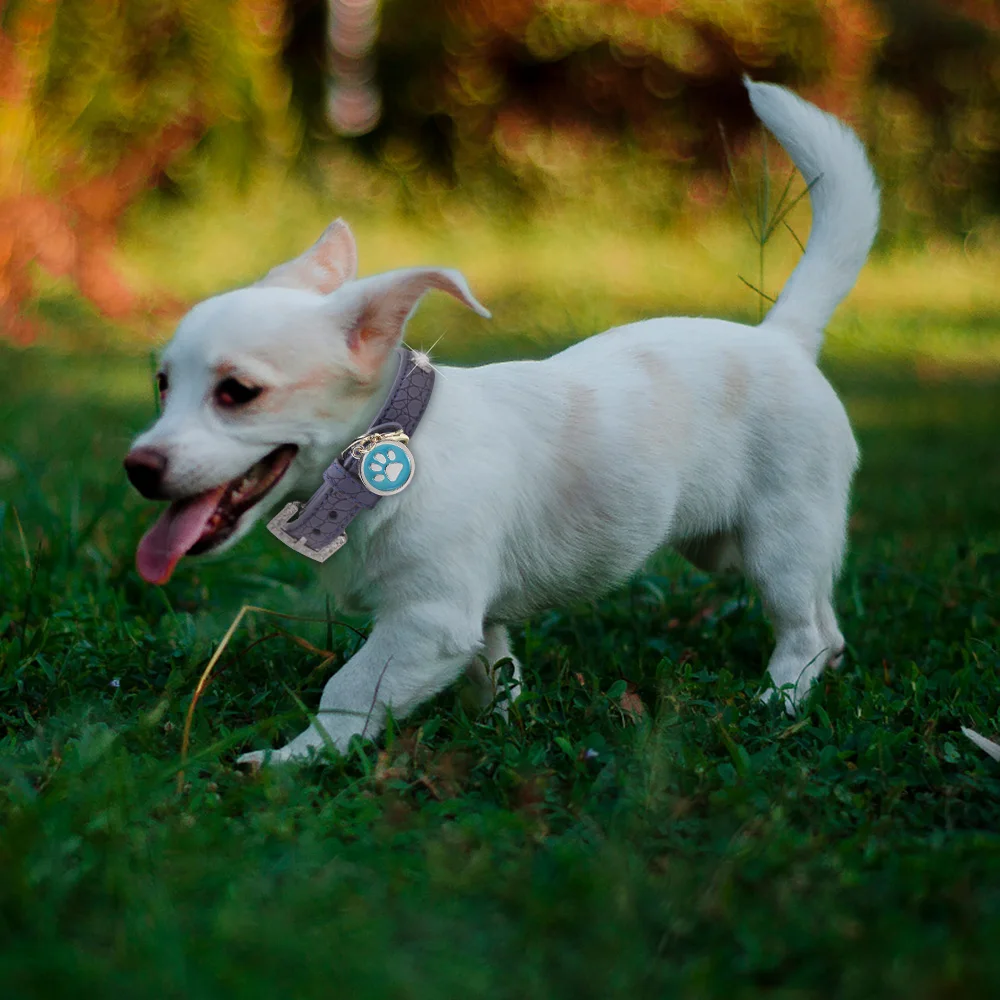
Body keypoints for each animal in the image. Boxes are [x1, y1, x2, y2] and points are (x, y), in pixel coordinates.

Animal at [127, 82, 884, 764]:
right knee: (829, 626)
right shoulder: (469, 618)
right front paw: (499, 725)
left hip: (780, 540)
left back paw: (776, 703)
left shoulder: (426, 620)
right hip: (727, 547)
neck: (389, 452)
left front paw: (295, 758)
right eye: (162, 384)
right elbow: (493, 669)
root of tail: (785, 337)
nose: (138, 468)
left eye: (238, 392)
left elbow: (349, 690)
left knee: (804, 632)